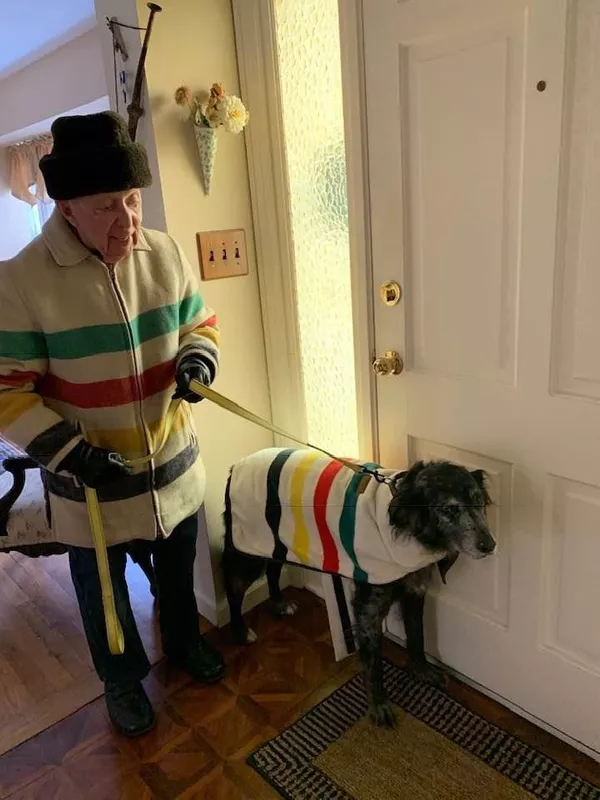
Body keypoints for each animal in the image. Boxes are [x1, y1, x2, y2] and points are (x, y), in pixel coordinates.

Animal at [223, 450, 494, 724]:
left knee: (273, 570)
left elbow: (417, 636)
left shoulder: (414, 589)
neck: (404, 522)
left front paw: (422, 670)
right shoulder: (368, 608)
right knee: (233, 589)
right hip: (249, 552)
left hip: (276, 543)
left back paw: (279, 603)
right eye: (449, 508)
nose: (489, 545)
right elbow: (374, 663)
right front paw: (379, 705)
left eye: (479, 503)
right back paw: (241, 631)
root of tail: (237, 465)